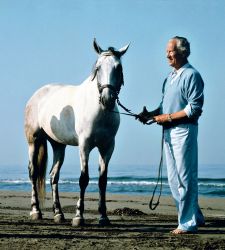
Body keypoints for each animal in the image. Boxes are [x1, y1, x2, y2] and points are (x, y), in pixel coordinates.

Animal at [24, 39, 129, 227]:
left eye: (118, 67)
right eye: (98, 68)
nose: (107, 98)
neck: (99, 111)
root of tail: (37, 95)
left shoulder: (108, 147)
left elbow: (102, 181)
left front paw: (103, 217)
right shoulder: (84, 145)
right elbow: (83, 179)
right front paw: (78, 216)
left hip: (58, 145)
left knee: (53, 176)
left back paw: (58, 213)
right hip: (33, 141)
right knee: (33, 173)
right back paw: (36, 211)